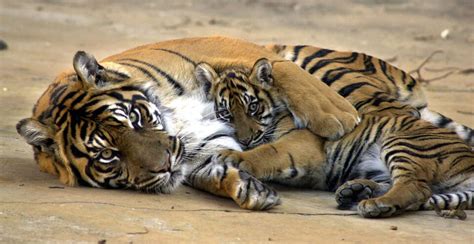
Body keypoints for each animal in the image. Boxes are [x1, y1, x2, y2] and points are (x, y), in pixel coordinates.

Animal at [13, 37, 360, 211]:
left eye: (134, 118)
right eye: (107, 155)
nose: (165, 165)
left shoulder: (223, 47)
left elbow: (283, 70)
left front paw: (338, 115)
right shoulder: (204, 150)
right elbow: (216, 171)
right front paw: (249, 189)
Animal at [194, 57, 472, 219]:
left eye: (252, 107)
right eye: (227, 113)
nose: (246, 139)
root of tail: (468, 161)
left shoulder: (304, 142)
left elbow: (269, 151)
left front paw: (233, 156)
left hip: (405, 143)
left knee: (417, 187)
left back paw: (375, 205)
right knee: (414, 189)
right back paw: (355, 191)